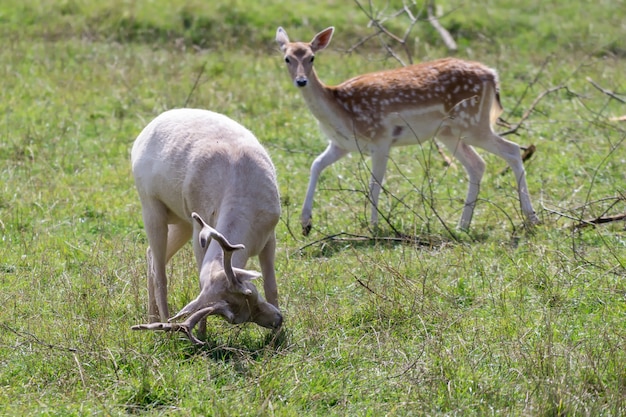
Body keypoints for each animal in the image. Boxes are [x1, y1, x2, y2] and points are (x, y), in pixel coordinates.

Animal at [130, 108, 282, 344]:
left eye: (251, 293)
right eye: (235, 319)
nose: (278, 320)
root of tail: (147, 128)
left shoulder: (270, 234)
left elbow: (271, 285)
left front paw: (278, 339)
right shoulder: (199, 227)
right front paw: (201, 333)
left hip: (181, 220)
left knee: (150, 255)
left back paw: (152, 319)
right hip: (150, 205)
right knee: (160, 272)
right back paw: (164, 327)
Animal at [276, 26, 540, 234]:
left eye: (312, 57)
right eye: (287, 58)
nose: (301, 81)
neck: (340, 111)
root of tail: (493, 76)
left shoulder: (381, 139)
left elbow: (374, 184)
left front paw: (374, 227)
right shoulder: (341, 145)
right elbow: (315, 165)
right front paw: (305, 224)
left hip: (474, 123)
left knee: (512, 150)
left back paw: (531, 218)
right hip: (449, 132)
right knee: (478, 164)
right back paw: (462, 225)